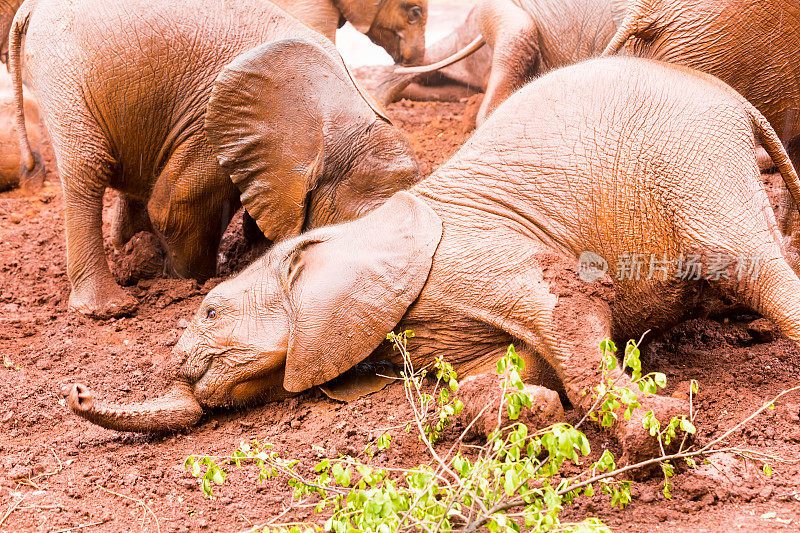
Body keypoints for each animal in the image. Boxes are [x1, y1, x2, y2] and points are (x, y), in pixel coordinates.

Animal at [67, 56, 800, 460]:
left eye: (211, 311)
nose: (75, 390)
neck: (352, 232)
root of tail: (739, 104)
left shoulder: (483, 254)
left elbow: (570, 310)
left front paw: (663, 433)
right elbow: (509, 369)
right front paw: (529, 409)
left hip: (694, 164)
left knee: (754, 266)